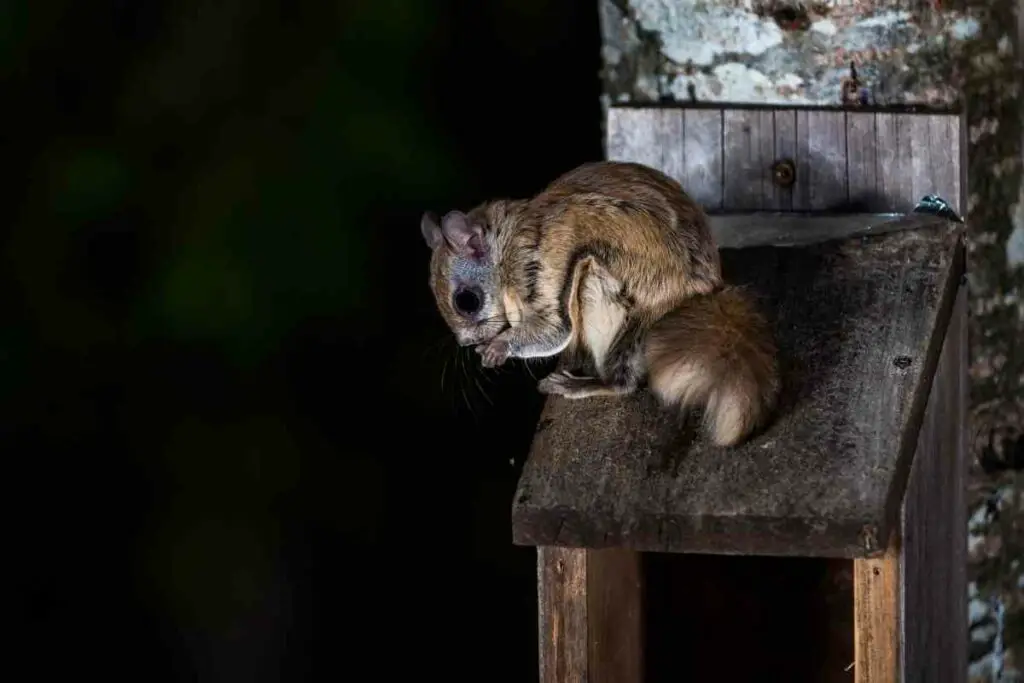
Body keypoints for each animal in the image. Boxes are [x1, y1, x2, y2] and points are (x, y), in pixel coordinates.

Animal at [419, 160, 778, 448]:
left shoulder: (535, 268)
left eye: (466, 302)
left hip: (599, 287)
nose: (466, 343)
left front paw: (498, 347)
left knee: (624, 383)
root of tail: (700, 291)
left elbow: (552, 329)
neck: (504, 248)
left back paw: (582, 383)